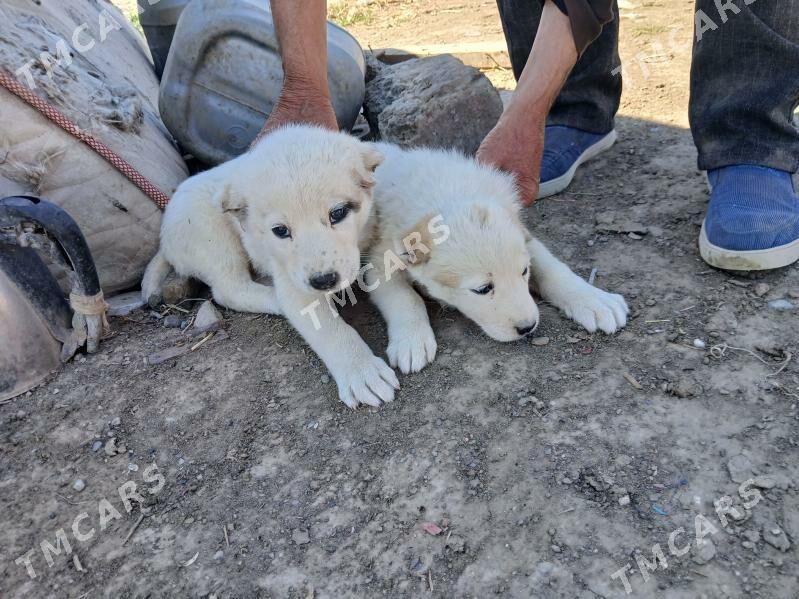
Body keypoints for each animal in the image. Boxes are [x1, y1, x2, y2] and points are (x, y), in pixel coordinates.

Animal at [143, 125, 400, 410]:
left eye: (338, 213)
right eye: (280, 231)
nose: (323, 282)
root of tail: (164, 238)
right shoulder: (294, 280)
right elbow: (329, 329)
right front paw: (361, 371)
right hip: (210, 234)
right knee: (229, 290)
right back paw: (274, 299)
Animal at [364, 144, 632, 376]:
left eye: (524, 272)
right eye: (483, 289)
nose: (528, 327)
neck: (447, 192)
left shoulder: (527, 240)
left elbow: (554, 269)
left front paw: (594, 300)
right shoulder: (377, 264)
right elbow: (405, 298)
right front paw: (412, 341)